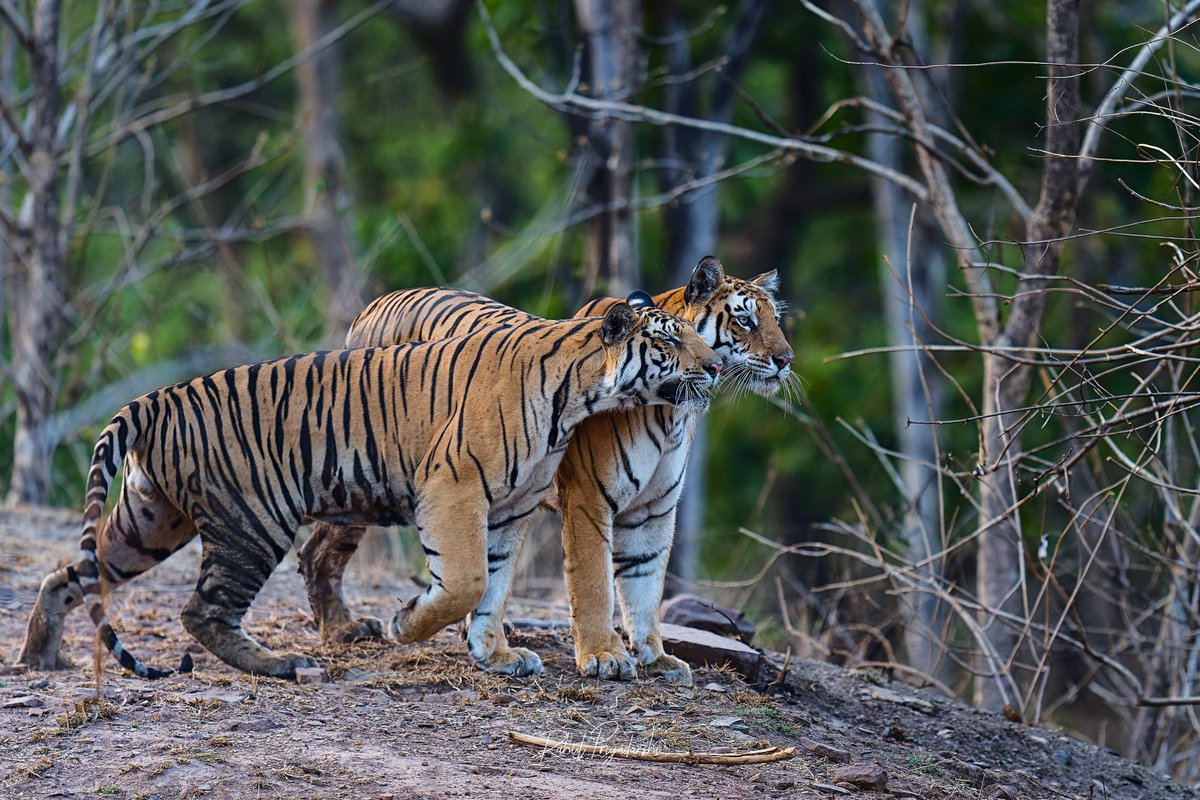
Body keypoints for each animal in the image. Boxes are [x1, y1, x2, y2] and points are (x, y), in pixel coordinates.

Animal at [16, 301, 723, 679]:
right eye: (669, 340)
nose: (716, 366)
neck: (577, 395)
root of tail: (157, 398)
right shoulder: (455, 485)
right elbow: (465, 581)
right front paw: (406, 624)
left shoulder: (510, 508)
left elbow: (492, 587)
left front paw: (495, 654)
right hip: (253, 520)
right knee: (203, 609)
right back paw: (276, 664)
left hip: (150, 521)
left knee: (68, 574)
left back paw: (40, 654)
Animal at [299, 256, 793, 684]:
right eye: (745, 320)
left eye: (776, 320)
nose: (786, 359)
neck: (673, 412)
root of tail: (376, 303)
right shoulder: (590, 497)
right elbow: (595, 583)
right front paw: (605, 656)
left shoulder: (653, 510)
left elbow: (645, 585)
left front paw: (657, 658)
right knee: (318, 550)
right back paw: (342, 629)